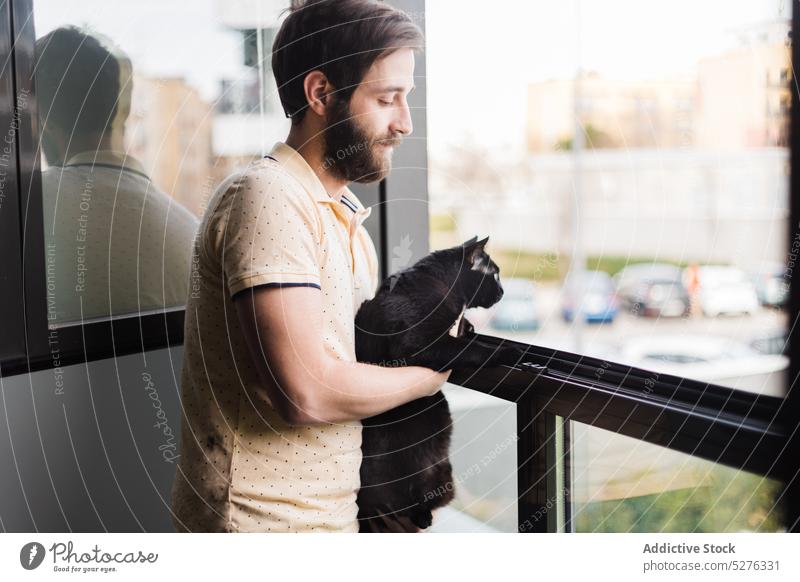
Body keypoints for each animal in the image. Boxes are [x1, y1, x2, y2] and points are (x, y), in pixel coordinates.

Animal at [354, 236, 524, 532]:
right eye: (496, 274)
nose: (503, 291)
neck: (437, 282)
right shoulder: (421, 345)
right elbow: (471, 349)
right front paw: (508, 352)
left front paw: (471, 327)